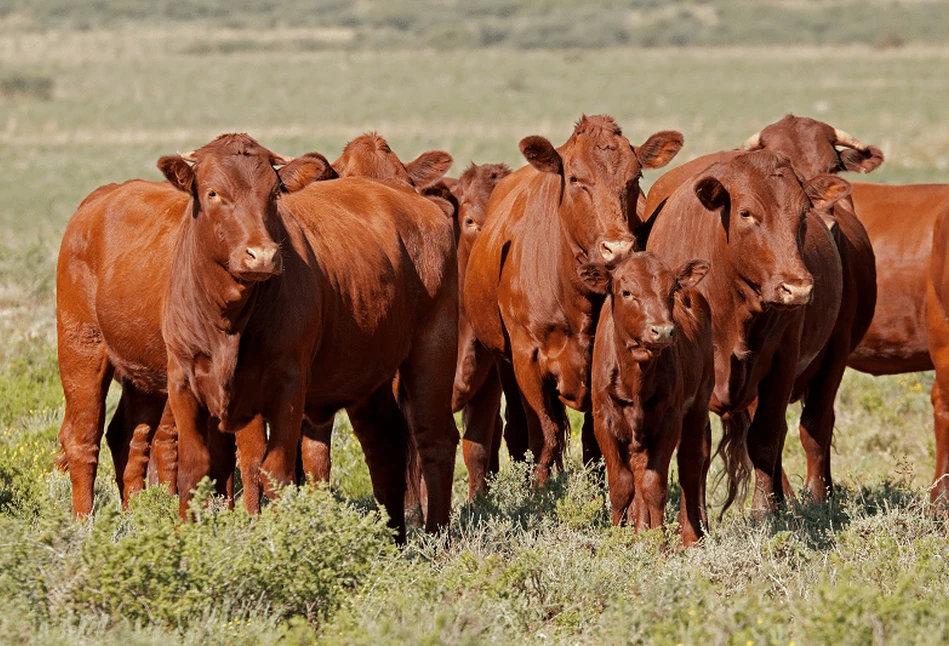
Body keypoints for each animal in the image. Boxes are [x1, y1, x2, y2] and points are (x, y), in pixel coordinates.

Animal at [57, 135, 334, 516]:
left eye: (274, 192)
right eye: (213, 192)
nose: (261, 255)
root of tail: (99, 199)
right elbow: (228, 458)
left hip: (142, 376)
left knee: (128, 437)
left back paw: (136, 512)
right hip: (81, 350)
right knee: (83, 438)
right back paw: (83, 522)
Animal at [160, 139, 460, 544]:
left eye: (273, 194)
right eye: (212, 193)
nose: (262, 255)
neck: (227, 320)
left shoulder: (287, 384)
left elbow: (276, 471)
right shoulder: (183, 381)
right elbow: (196, 470)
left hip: (433, 351)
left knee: (434, 439)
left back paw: (437, 538)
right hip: (370, 377)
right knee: (386, 443)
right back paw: (394, 538)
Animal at [462, 115, 676, 486]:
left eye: (634, 178)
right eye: (575, 179)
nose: (617, 248)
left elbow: (594, 442)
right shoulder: (527, 358)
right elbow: (543, 435)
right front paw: (539, 492)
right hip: (504, 360)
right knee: (517, 430)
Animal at [576, 253, 712, 548]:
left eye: (672, 291)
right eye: (627, 292)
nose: (663, 331)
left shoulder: (670, 421)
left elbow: (654, 486)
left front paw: (659, 545)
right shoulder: (603, 421)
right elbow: (621, 485)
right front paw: (618, 540)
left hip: (699, 403)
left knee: (690, 463)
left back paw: (689, 538)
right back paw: (640, 532)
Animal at [640, 115, 876, 502]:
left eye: (802, 213)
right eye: (747, 212)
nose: (797, 287)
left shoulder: (789, 359)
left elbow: (770, 438)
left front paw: (770, 507)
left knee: (813, 424)